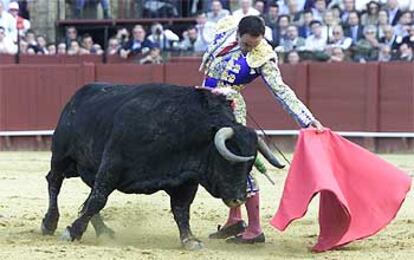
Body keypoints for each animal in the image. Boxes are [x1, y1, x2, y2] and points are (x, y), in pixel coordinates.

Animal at [40, 83, 284, 250]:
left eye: (251, 164)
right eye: (229, 161)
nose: (238, 198)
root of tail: (79, 95)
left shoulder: (186, 181)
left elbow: (181, 210)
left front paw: (189, 240)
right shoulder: (111, 166)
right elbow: (98, 199)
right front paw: (72, 232)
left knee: (87, 196)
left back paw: (104, 231)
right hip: (62, 157)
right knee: (55, 182)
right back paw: (49, 223)